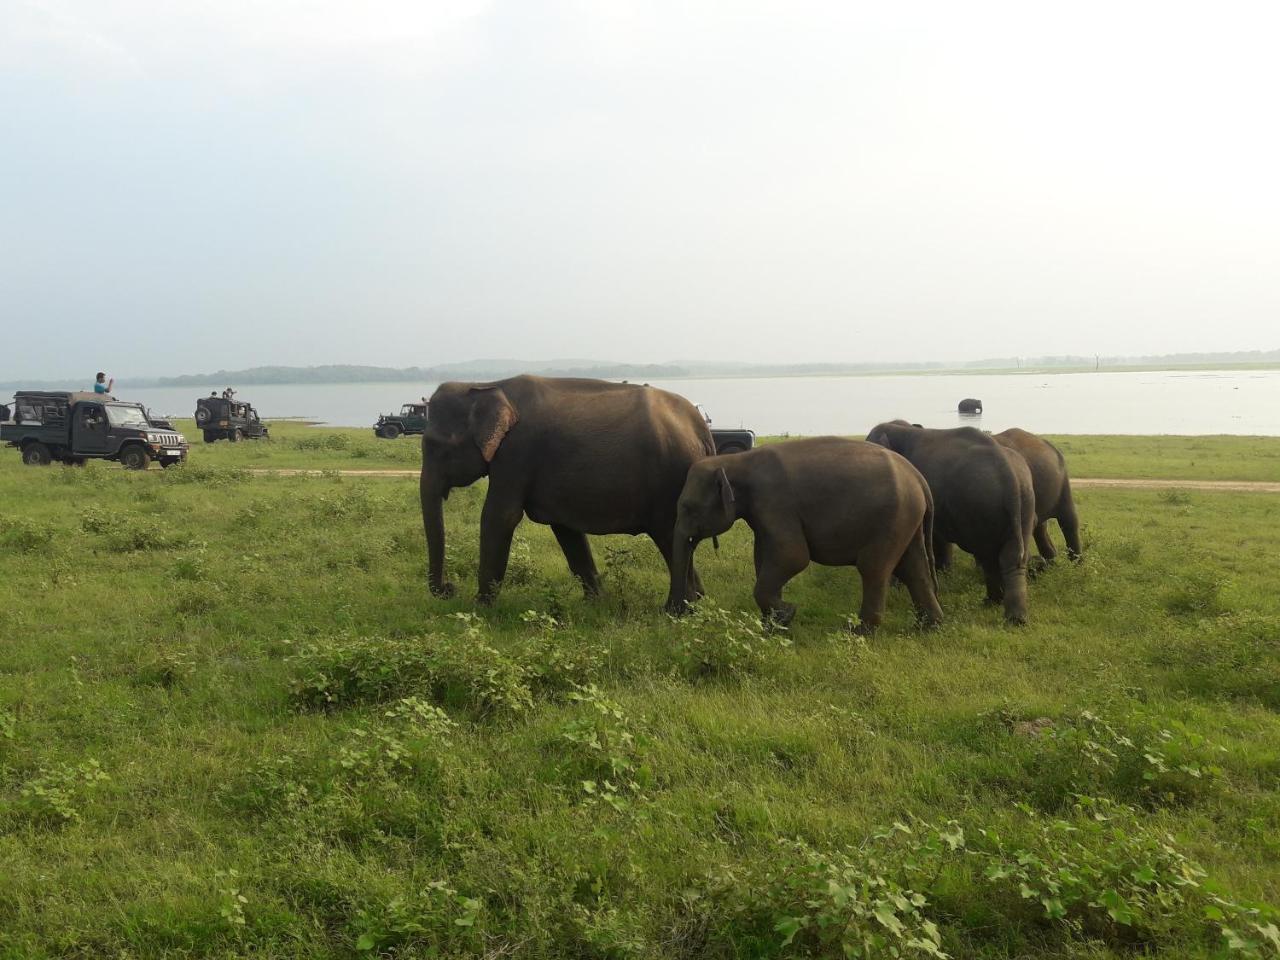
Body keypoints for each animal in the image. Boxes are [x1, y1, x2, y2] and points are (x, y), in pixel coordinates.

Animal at [424, 376, 716, 609]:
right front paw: (594, 604)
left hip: (671, 482)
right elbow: (567, 531)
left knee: (670, 538)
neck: (487, 385)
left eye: (436, 447)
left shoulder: (516, 454)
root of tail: (701, 426)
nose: (449, 589)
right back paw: (698, 602)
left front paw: (478, 608)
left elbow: (500, 518)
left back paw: (678, 610)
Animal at [670, 437, 942, 634]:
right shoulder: (762, 513)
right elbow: (764, 557)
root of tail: (918, 478)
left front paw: (786, 615)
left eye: (688, 508)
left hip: (893, 518)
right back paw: (928, 627)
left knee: (874, 568)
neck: (735, 461)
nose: (678, 612)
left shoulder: (775, 502)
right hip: (907, 520)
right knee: (913, 568)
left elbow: (793, 557)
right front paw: (770, 626)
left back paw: (857, 631)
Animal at [865, 424, 1034, 627]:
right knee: (1012, 556)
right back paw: (1013, 616)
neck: (901, 429)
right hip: (1024, 502)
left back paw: (994, 604)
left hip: (980, 504)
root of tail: (1008, 473)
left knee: (989, 555)